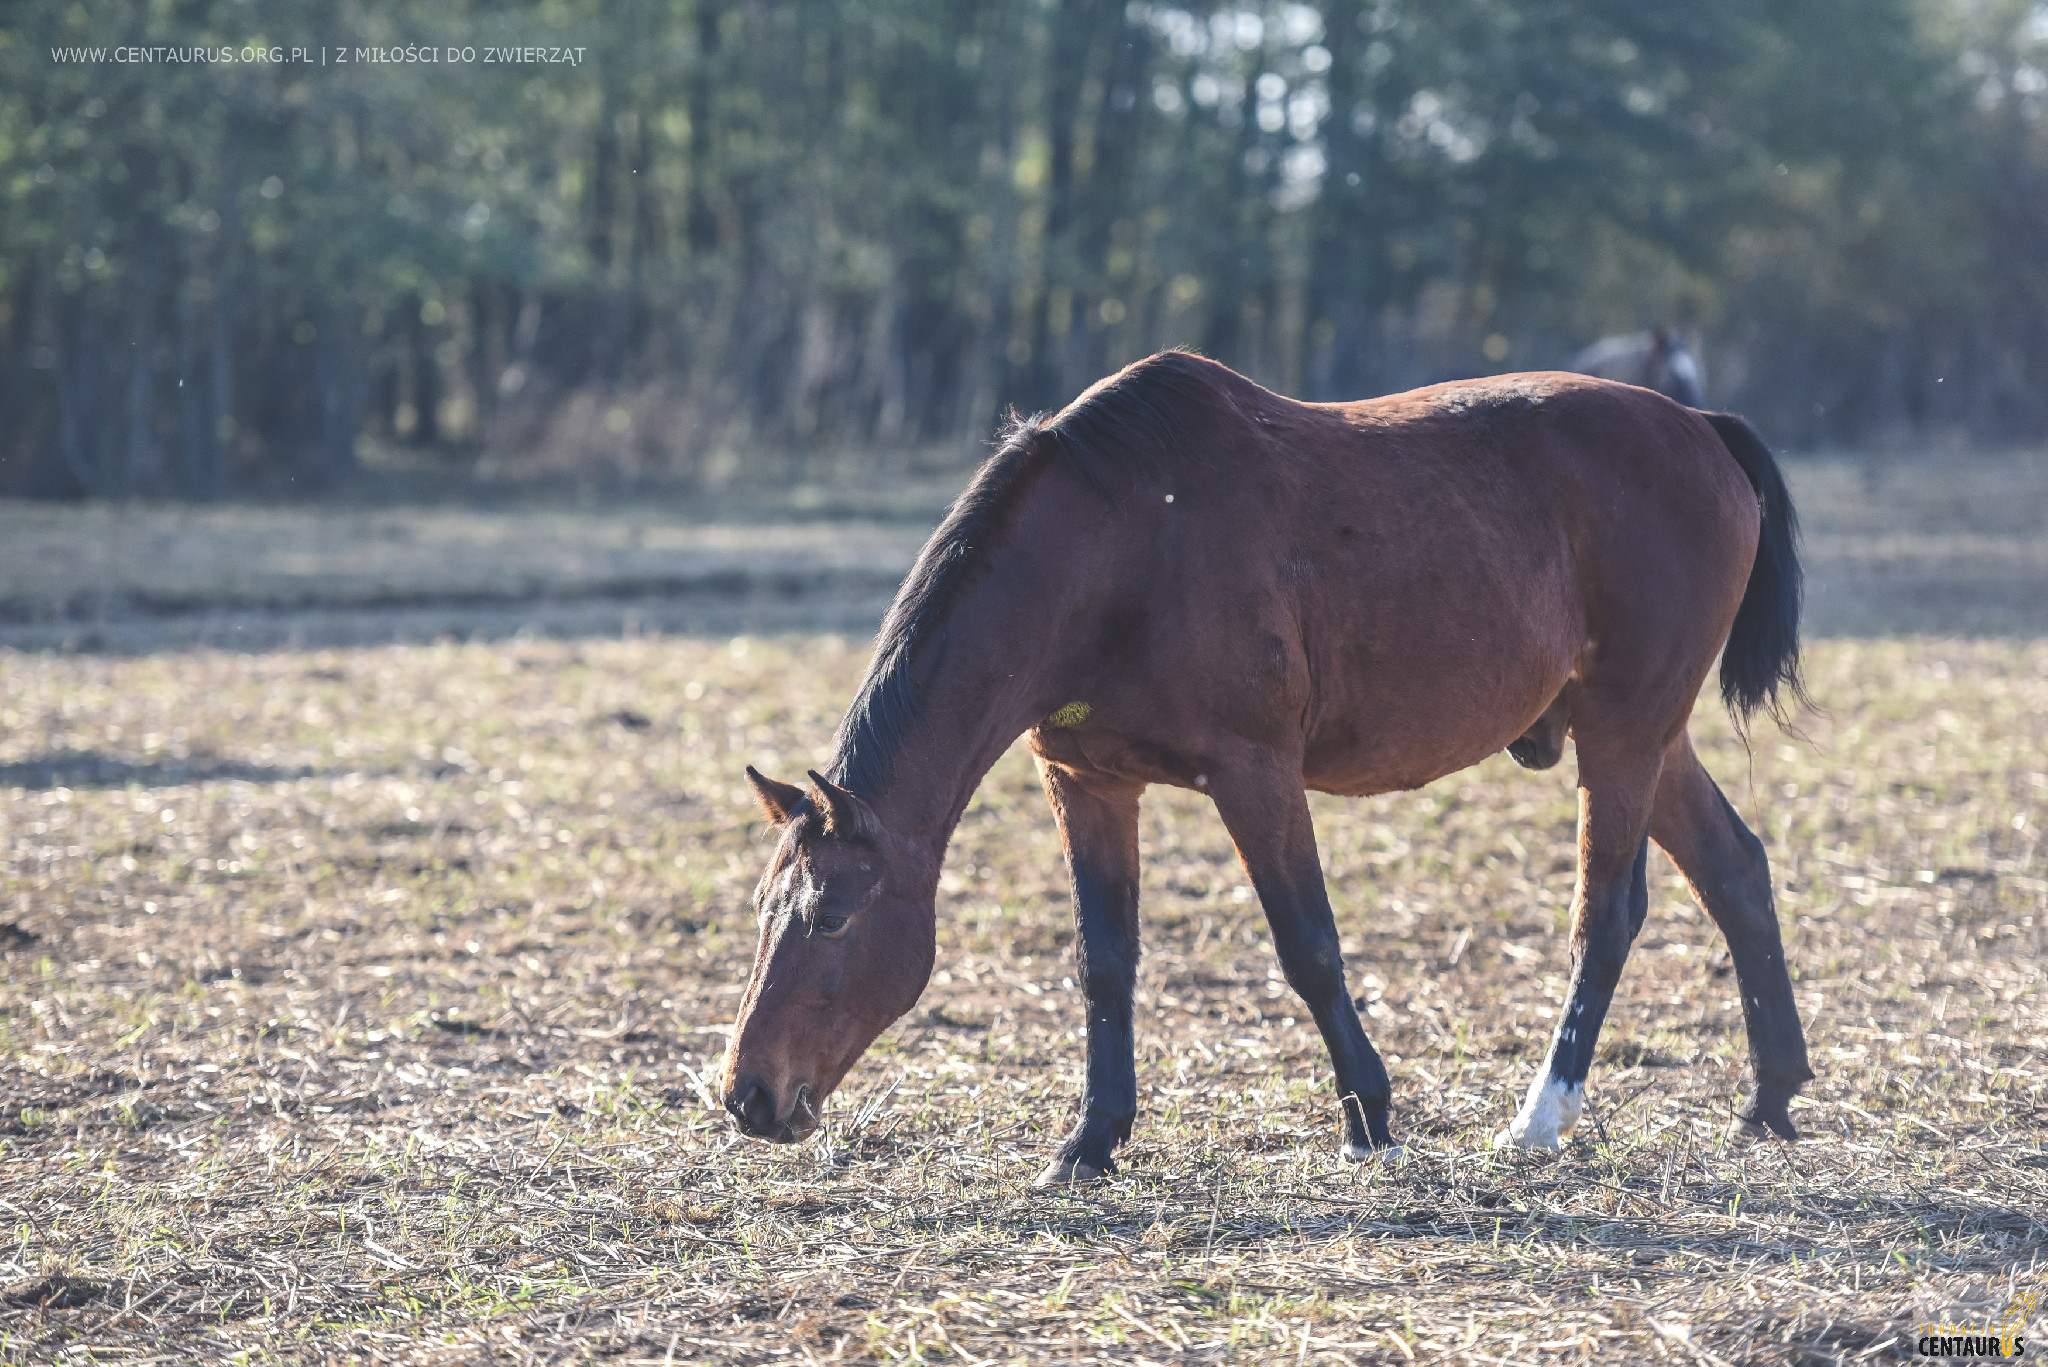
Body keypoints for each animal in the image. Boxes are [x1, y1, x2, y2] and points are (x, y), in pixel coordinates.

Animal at [720, 348, 1810, 1180]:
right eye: (766, 909)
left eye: (830, 916)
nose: (748, 1094)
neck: (1116, 546)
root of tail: (1698, 425)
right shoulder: (1087, 783)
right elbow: (1103, 962)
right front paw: (1090, 1139)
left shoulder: (1255, 773)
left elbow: (1307, 945)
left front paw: (1369, 1117)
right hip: (1640, 734)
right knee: (1736, 871)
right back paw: (1768, 1099)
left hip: (1623, 733)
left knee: (1606, 913)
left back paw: (1541, 1115)